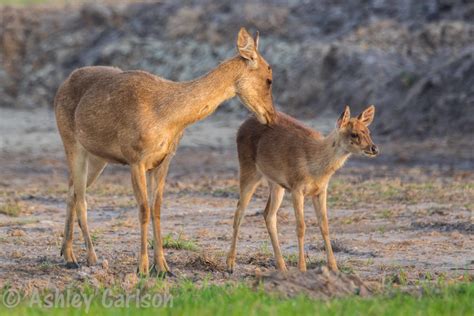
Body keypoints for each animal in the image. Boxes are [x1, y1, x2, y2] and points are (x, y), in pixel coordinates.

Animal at [55, 27, 276, 276]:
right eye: (269, 79)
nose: (272, 116)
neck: (167, 115)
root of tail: (62, 85)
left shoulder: (164, 161)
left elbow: (157, 208)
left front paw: (163, 267)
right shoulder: (135, 159)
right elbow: (143, 209)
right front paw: (142, 268)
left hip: (97, 159)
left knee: (72, 191)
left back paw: (68, 254)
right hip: (71, 143)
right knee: (81, 198)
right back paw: (89, 258)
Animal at [226, 105, 378, 272]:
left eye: (368, 131)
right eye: (354, 134)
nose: (374, 148)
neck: (316, 165)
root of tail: (243, 124)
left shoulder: (321, 191)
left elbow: (324, 225)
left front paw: (334, 267)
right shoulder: (297, 188)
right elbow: (301, 227)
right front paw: (302, 268)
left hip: (276, 184)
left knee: (268, 215)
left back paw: (282, 266)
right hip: (248, 169)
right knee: (239, 212)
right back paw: (230, 264)